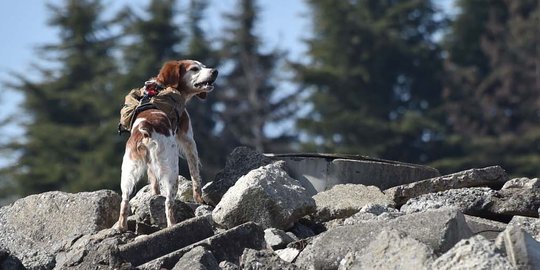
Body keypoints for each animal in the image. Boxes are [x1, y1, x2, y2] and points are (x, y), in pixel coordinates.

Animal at [117, 60, 217, 231]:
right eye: (195, 69)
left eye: (204, 66)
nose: (215, 71)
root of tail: (145, 128)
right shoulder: (188, 140)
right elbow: (195, 176)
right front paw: (199, 200)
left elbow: (153, 182)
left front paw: (154, 195)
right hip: (171, 169)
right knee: (168, 202)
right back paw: (173, 225)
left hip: (129, 171)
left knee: (124, 201)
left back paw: (121, 227)